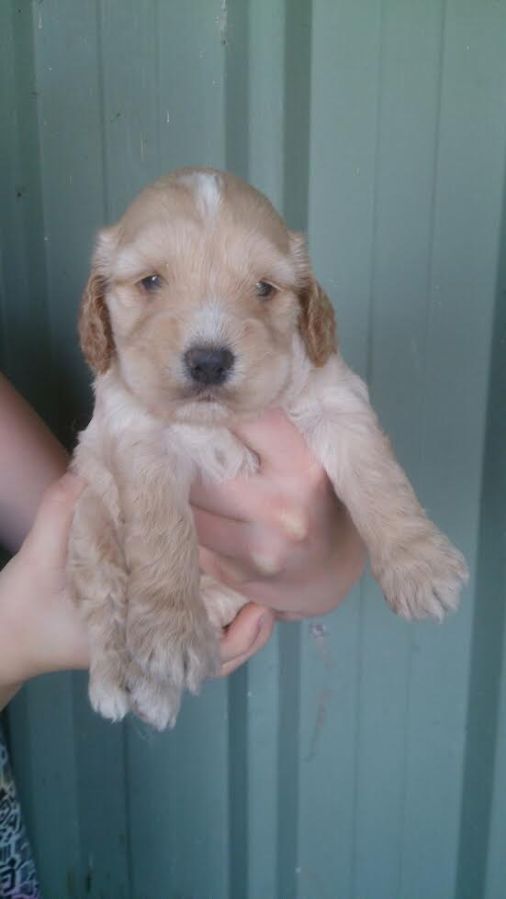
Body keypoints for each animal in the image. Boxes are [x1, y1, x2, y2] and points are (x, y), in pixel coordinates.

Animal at [68, 167, 468, 730]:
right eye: (150, 282)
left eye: (264, 289)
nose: (209, 361)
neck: (220, 422)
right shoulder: (138, 437)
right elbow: (160, 533)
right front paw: (171, 632)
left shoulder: (337, 402)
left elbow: (378, 479)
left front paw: (420, 566)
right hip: (89, 519)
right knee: (104, 601)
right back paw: (123, 680)